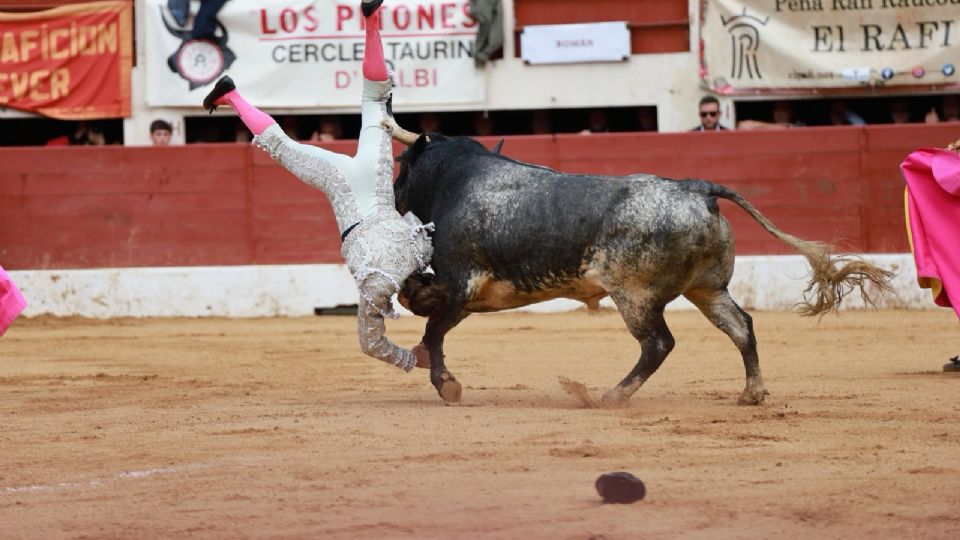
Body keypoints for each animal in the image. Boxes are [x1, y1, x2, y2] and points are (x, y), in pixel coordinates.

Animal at [380, 118, 892, 404]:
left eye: (401, 166)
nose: (392, 194)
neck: (456, 180)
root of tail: (697, 188)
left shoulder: (461, 281)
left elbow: (434, 330)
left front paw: (447, 385)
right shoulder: (468, 293)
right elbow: (427, 315)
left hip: (636, 296)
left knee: (658, 344)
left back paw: (611, 395)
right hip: (707, 288)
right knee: (741, 326)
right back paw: (752, 393)